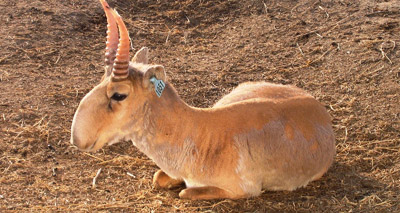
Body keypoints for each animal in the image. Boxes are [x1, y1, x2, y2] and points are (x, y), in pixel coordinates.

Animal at [71, 0, 334, 200]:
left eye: (119, 94)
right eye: (101, 79)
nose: (77, 139)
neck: (200, 132)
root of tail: (319, 109)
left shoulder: (242, 190)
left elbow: (185, 192)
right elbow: (159, 178)